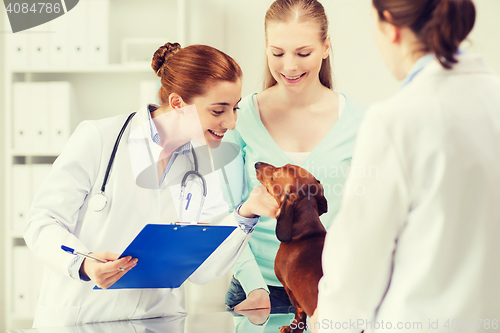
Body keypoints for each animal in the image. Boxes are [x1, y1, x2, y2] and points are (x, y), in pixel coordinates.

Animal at [256, 161, 326, 332]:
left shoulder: (289, 288)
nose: (256, 164)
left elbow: (299, 312)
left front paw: (292, 327)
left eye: (274, 176)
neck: (307, 232)